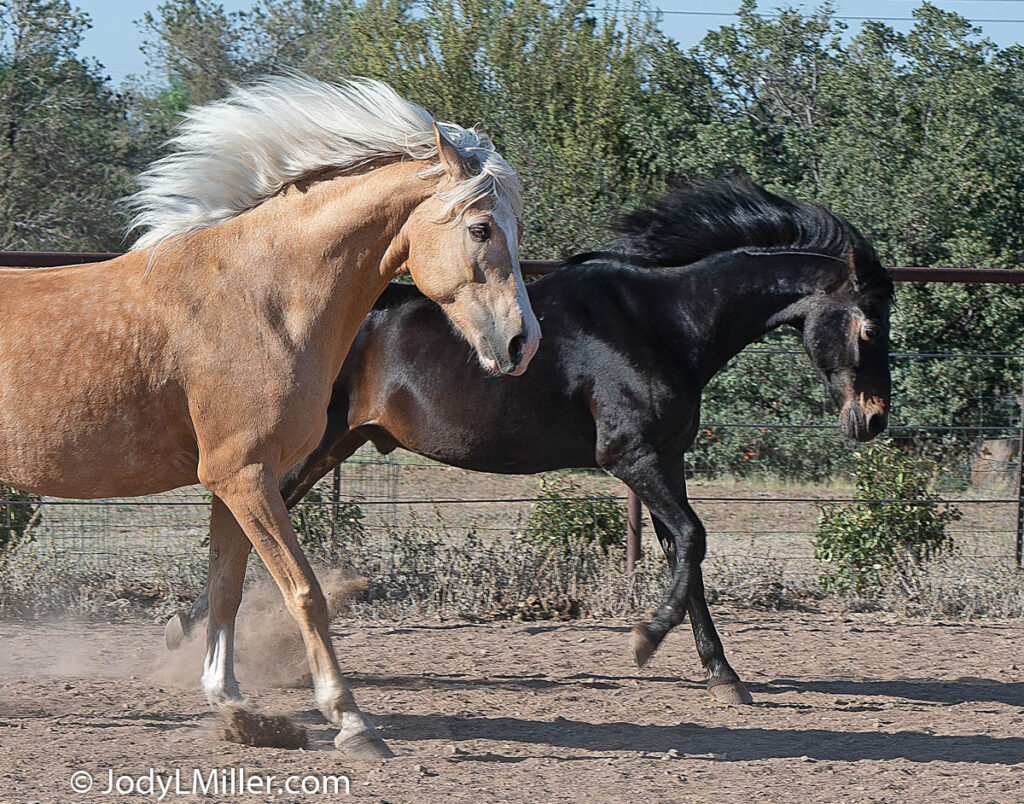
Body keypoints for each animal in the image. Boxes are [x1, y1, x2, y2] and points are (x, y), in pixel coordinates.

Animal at [0, 72, 540, 757]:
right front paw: (352, 723)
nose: (523, 344)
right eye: (480, 229)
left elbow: (225, 590)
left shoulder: (233, 480)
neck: (263, 297)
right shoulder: (245, 476)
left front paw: (233, 708)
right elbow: (305, 593)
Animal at [165, 177, 888, 708]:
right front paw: (644, 640)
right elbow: (693, 539)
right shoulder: (630, 456)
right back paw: (192, 636)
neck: (661, 322)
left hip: (330, 448)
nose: (873, 420)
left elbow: (684, 554)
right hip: (302, 449)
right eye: (869, 325)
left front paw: (724, 675)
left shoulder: (667, 459)